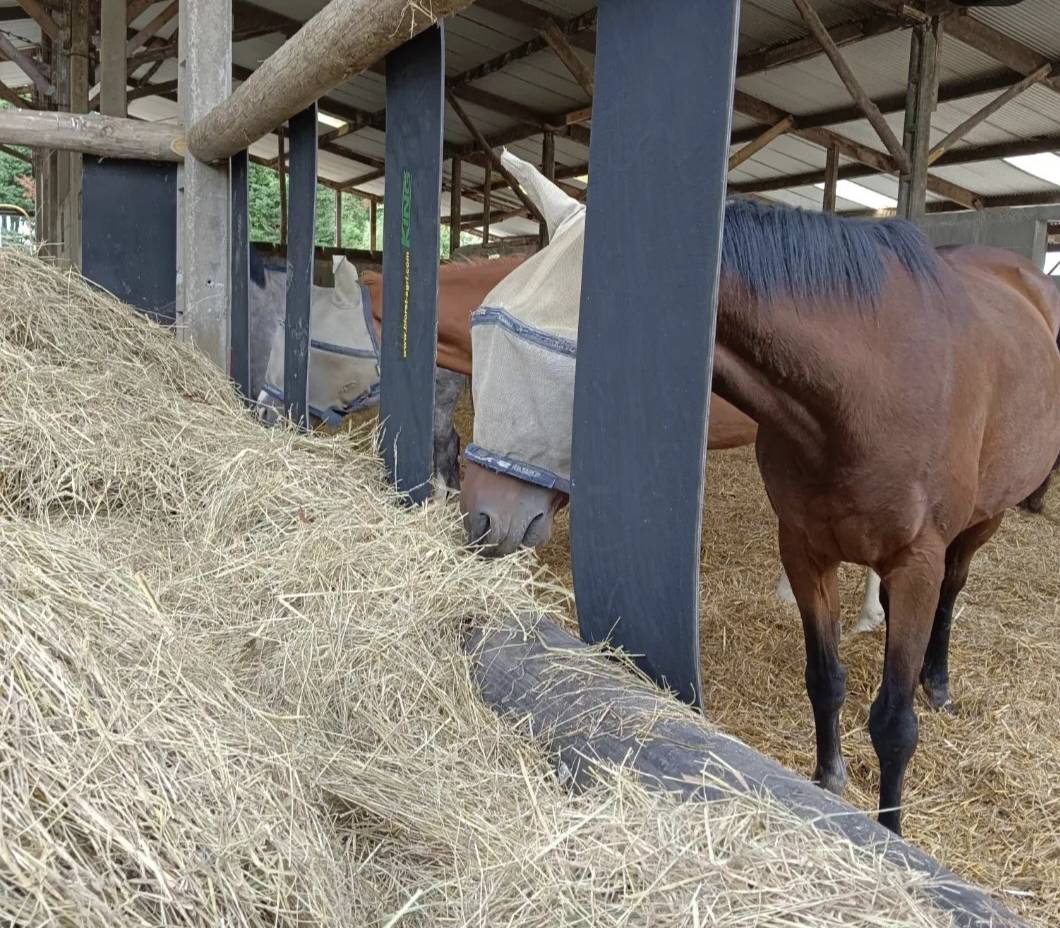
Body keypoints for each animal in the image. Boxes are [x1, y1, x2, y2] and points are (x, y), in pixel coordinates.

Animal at [459, 151, 1060, 836]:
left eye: (580, 358)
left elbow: (894, 724)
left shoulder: (917, 563)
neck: (866, 390)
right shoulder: (803, 548)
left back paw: (935, 681)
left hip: (983, 520)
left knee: (953, 593)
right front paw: (828, 785)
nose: (483, 518)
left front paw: (888, 835)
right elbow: (825, 680)